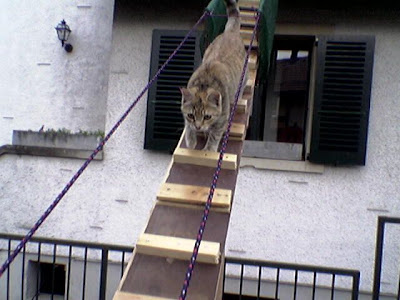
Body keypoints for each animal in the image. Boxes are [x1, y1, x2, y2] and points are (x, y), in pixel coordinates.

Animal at [180, 0, 245, 151]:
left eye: (207, 117)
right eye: (191, 115)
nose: (198, 127)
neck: (204, 83)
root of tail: (230, 32)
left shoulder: (221, 119)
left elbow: (214, 135)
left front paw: (209, 149)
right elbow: (188, 127)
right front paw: (191, 141)